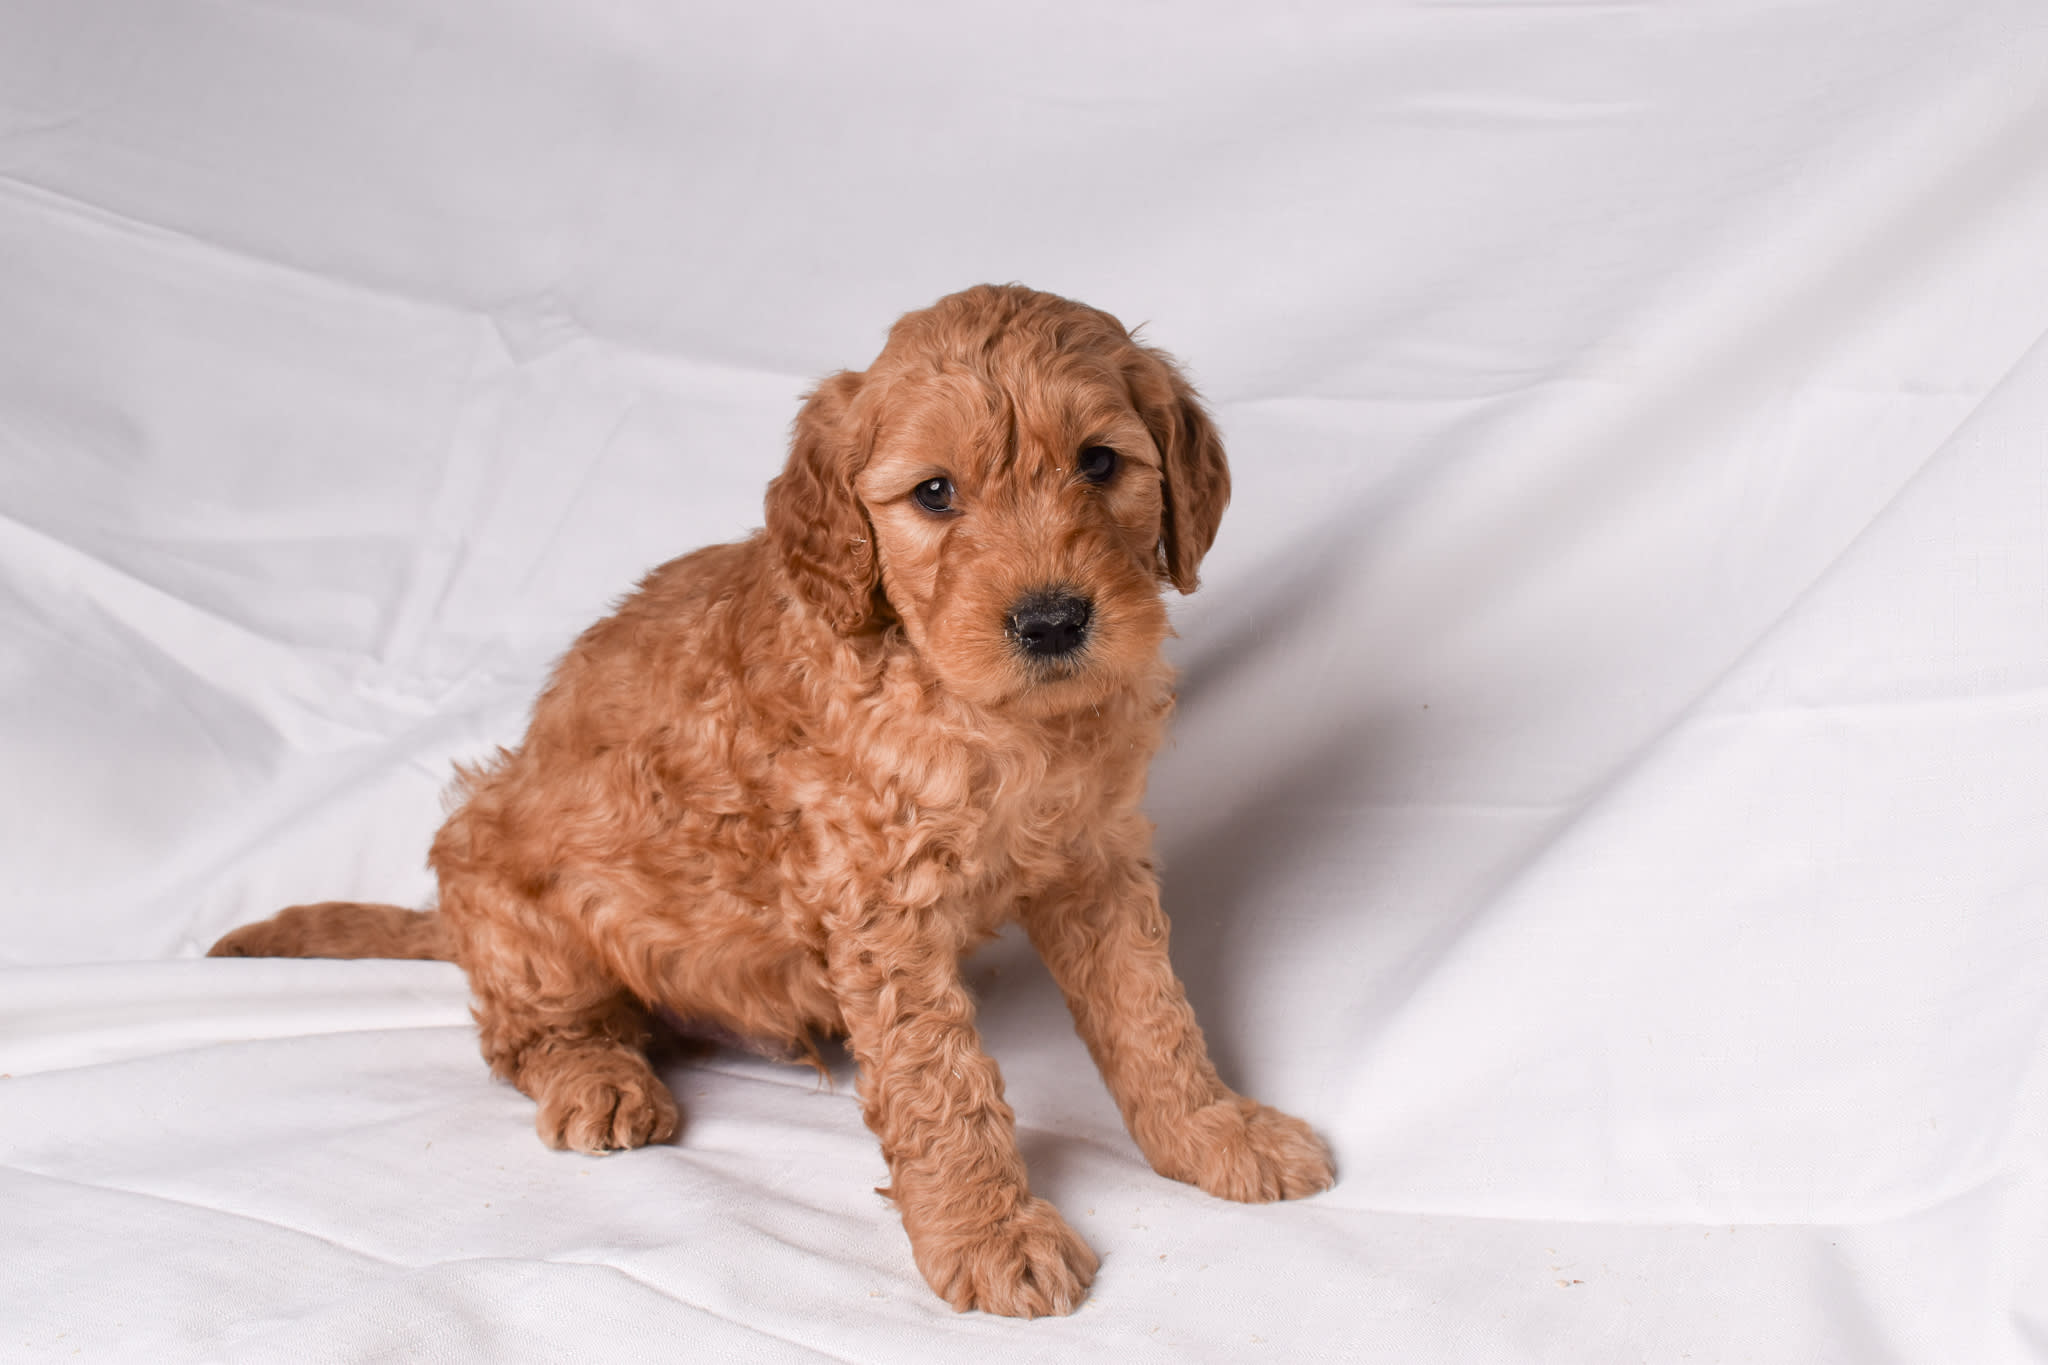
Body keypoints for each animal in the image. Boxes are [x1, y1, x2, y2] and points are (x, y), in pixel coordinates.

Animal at [207, 282, 1327, 1317]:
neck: (986, 712)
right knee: (525, 1033)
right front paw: (989, 1235)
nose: (1051, 621)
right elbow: (940, 1084)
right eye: (934, 493)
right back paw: (599, 1078)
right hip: (509, 882)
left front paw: (1212, 1133)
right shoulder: (882, 907)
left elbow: (1151, 1016)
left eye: (1099, 464)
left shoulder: (1095, 857)